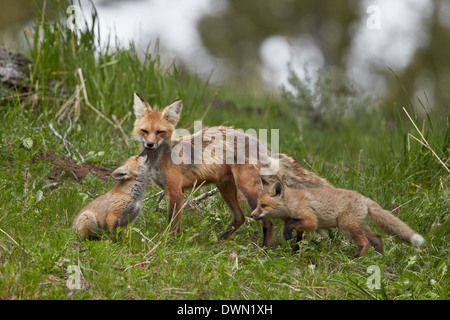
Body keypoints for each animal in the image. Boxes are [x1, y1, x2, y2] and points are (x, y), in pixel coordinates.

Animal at [132, 92, 332, 248]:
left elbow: (173, 224)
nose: (150, 145)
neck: (161, 157)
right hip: (225, 188)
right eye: (144, 131)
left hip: (248, 190)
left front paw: (170, 243)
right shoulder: (170, 191)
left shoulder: (176, 192)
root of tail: (262, 147)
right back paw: (219, 242)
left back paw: (264, 251)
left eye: (160, 132)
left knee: (266, 222)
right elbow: (173, 223)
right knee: (240, 217)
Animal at [250, 180, 426, 258]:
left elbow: (292, 226)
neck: (293, 203)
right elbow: (298, 243)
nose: (252, 215)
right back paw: (379, 257)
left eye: (263, 205)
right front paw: (295, 255)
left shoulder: (311, 221)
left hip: (346, 225)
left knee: (366, 242)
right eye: (258, 205)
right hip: (356, 225)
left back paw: (356, 258)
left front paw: (287, 236)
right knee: (377, 237)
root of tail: (365, 199)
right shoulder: (302, 228)